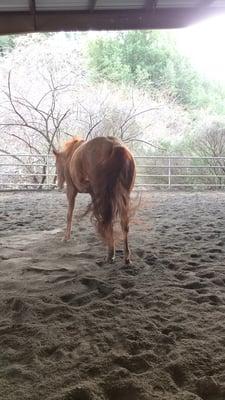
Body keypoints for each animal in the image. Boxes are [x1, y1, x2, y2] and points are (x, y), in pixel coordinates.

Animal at [53, 136, 135, 264]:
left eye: (56, 164)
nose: (59, 185)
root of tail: (115, 146)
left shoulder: (71, 191)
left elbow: (69, 214)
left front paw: (66, 237)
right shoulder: (93, 194)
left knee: (108, 220)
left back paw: (110, 254)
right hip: (123, 195)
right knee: (123, 223)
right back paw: (126, 257)